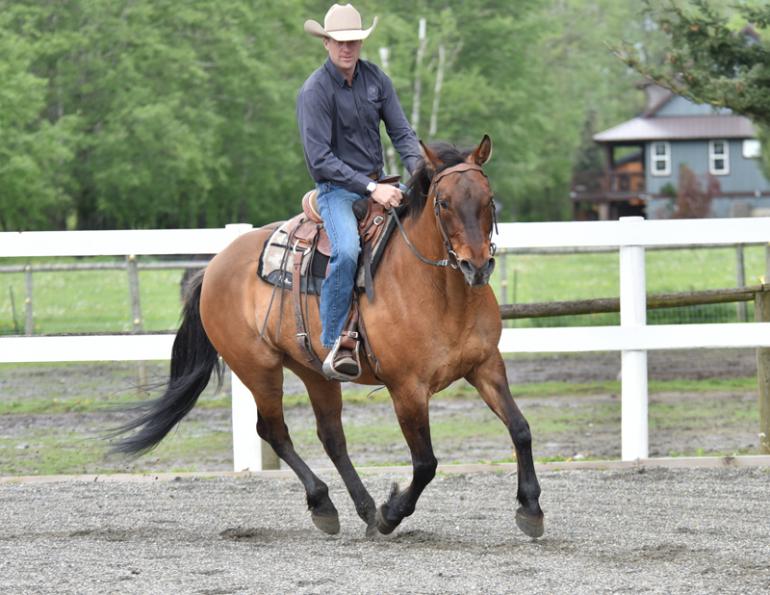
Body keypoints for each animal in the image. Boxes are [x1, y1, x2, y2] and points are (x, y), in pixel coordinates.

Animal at [111, 135, 544, 539]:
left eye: (488, 200)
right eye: (444, 203)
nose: (476, 266)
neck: (442, 293)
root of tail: (215, 265)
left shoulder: (486, 365)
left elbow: (521, 429)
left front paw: (531, 508)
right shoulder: (407, 388)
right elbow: (426, 463)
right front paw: (391, 514)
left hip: (315, 371)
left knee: (331, 436)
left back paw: (363, 508)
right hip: (258, 369)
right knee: (275, 432)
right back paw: (326, 504)